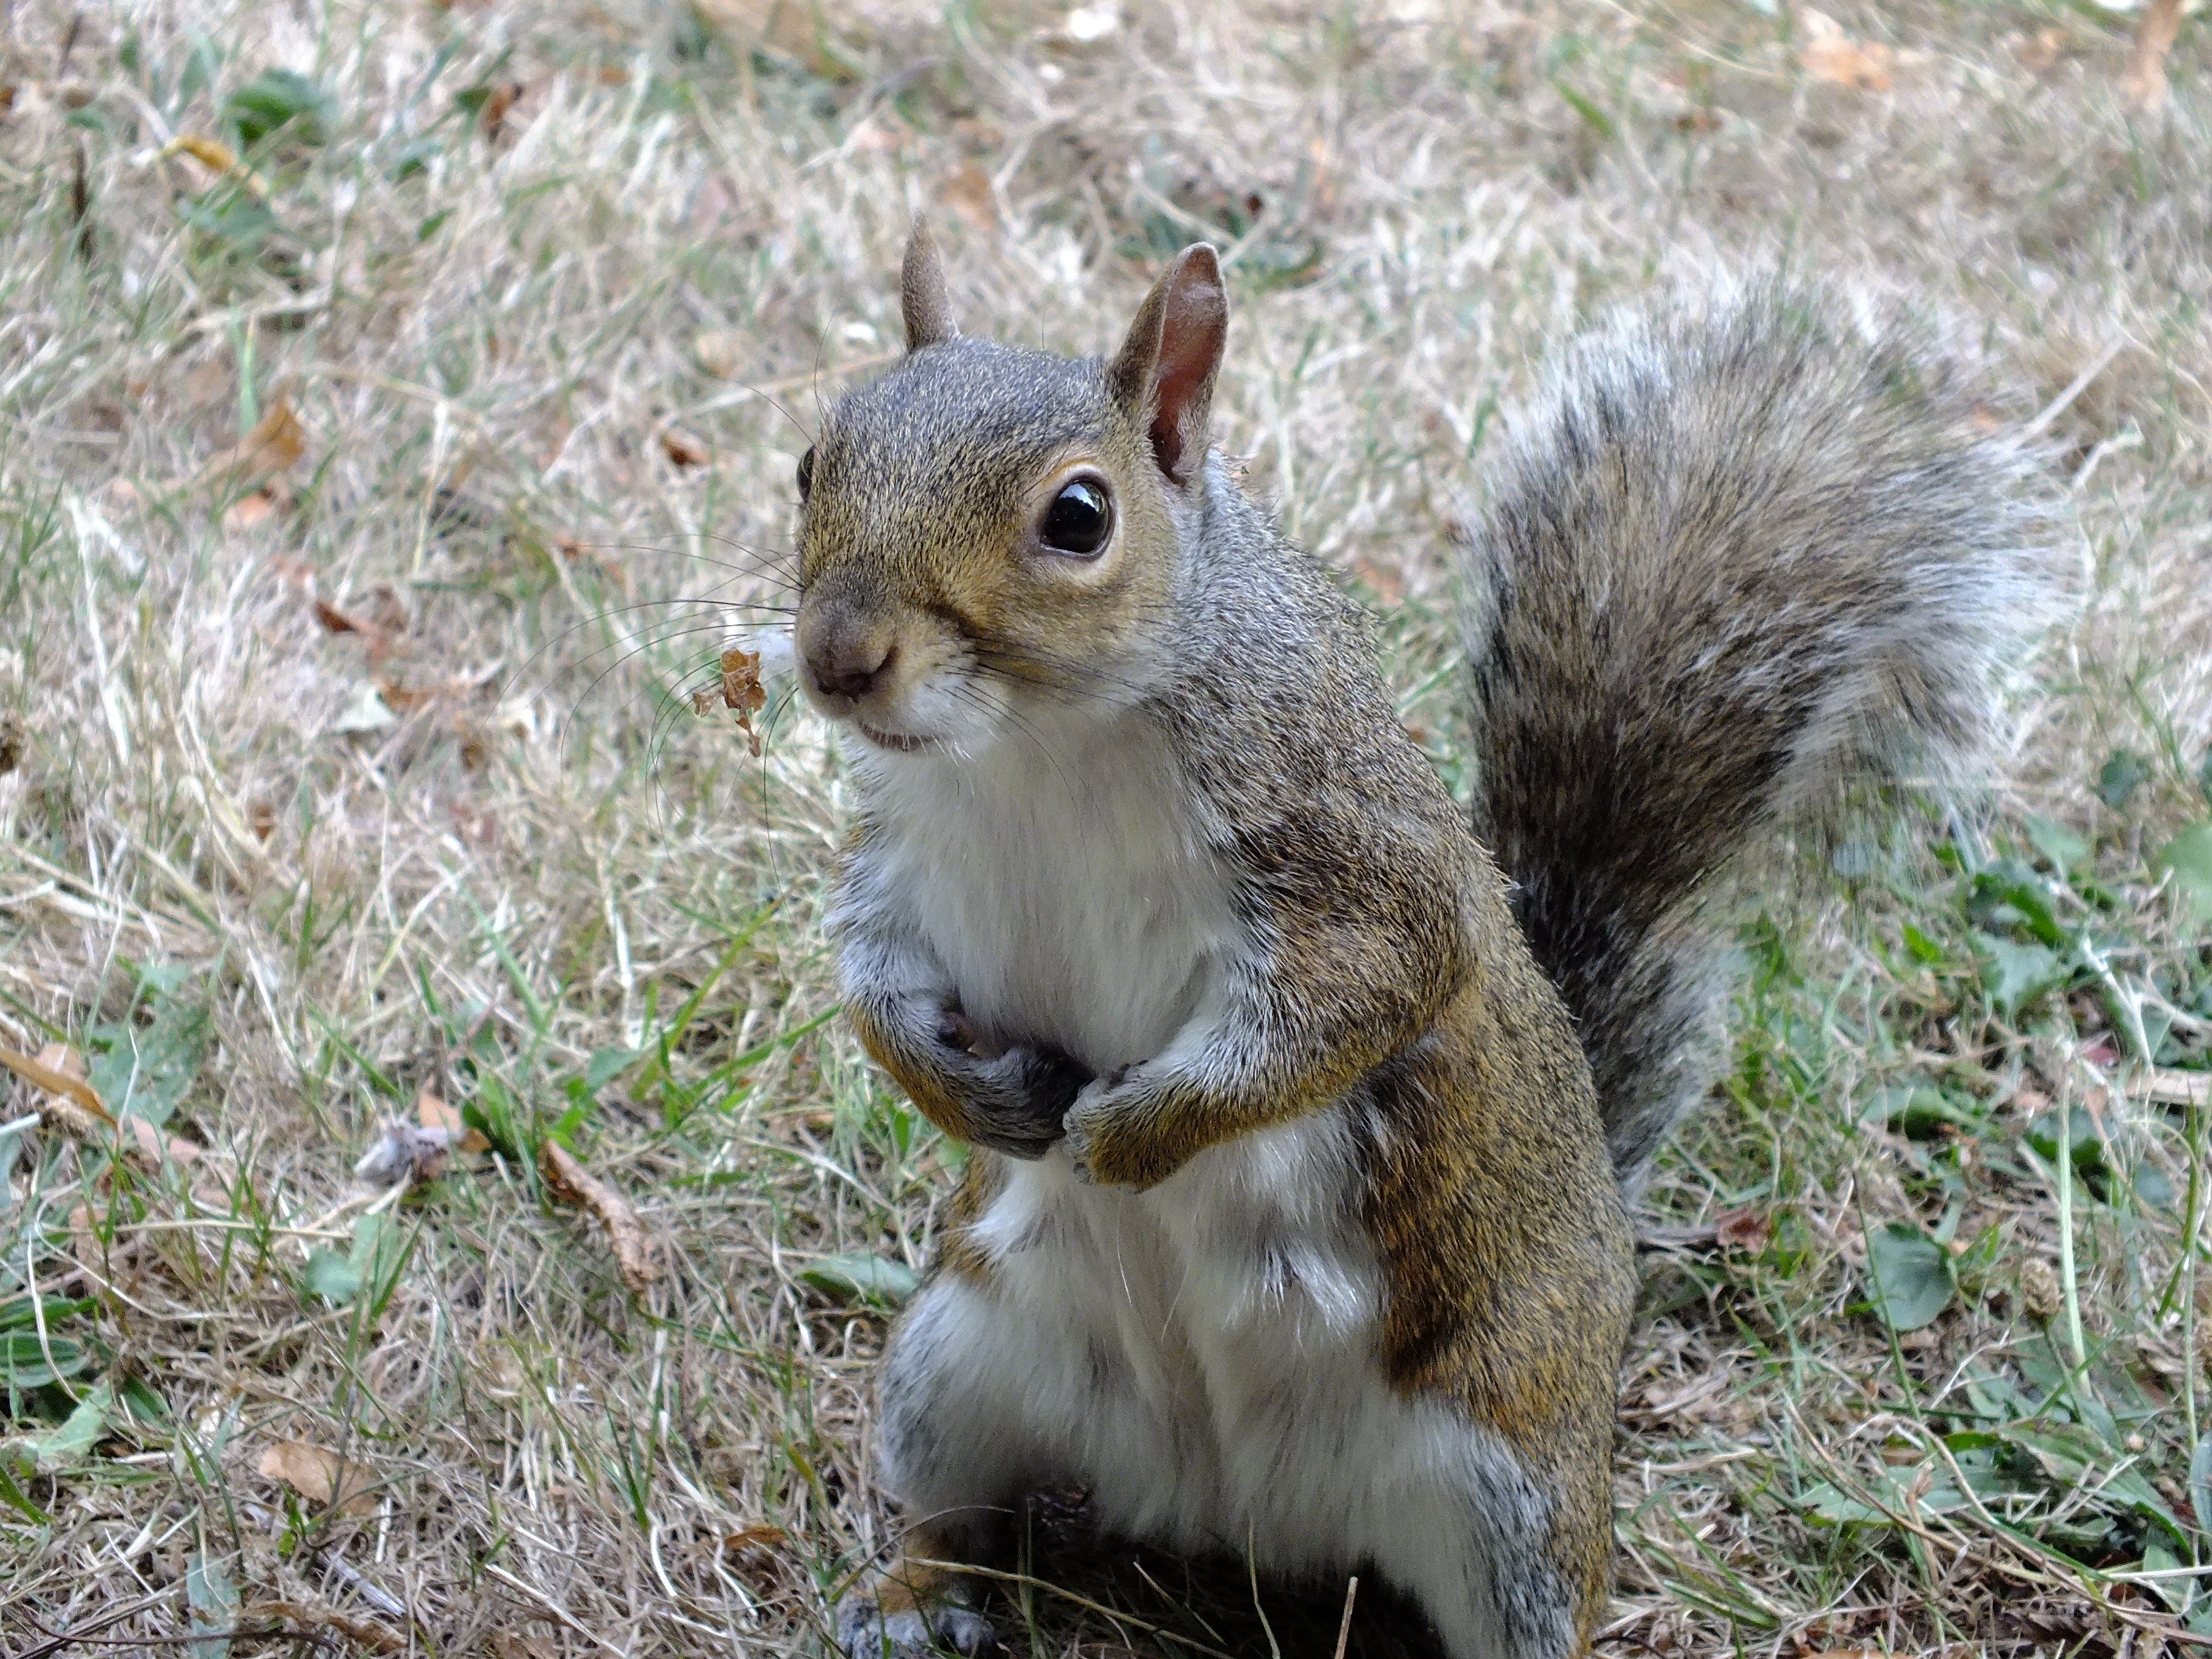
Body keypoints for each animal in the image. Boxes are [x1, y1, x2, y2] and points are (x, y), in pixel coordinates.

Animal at [789, 222, 2053, 1659]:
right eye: (812, 461)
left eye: (1078, 517)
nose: (836, 657)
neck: (1031, 748)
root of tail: (1227, 1513)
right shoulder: (904, 858)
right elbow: (875, 980)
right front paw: (964, 1091)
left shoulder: (1354, 861)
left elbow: (1352, 1003)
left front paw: (1133, 1132)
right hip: (955, 1356)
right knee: (950, 1504)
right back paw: (911, 1592)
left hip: (1506, 1487)